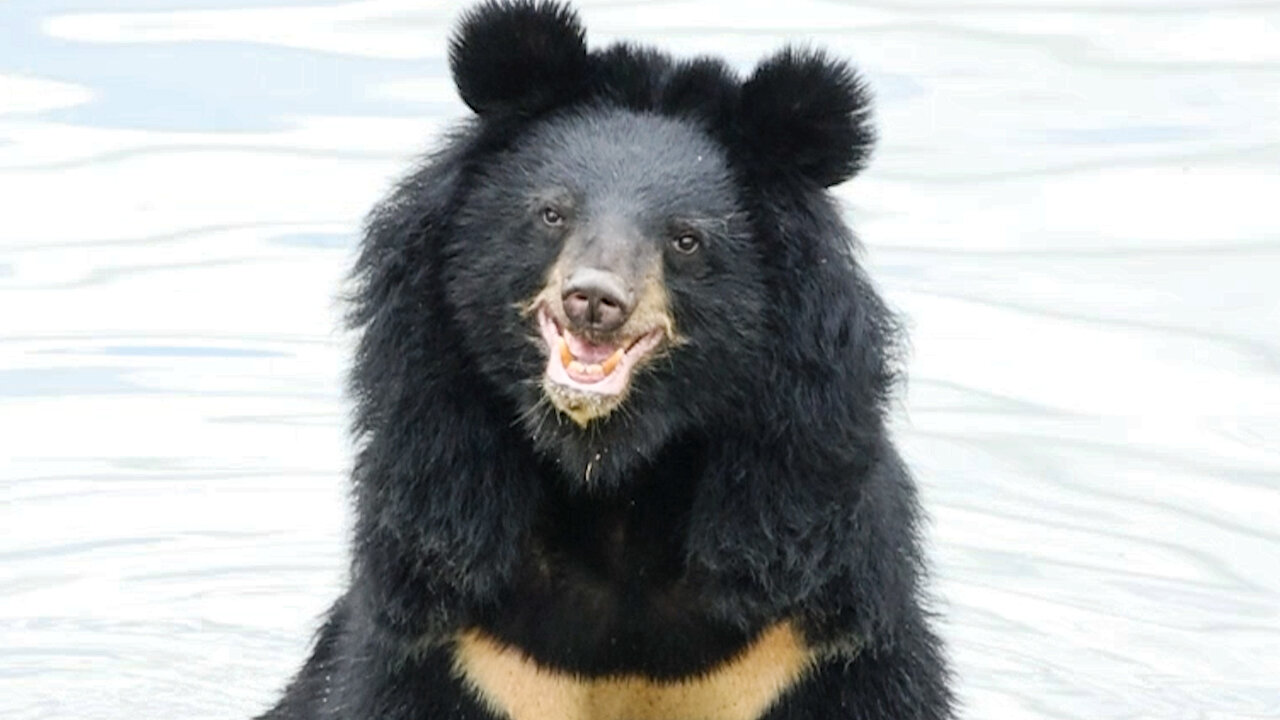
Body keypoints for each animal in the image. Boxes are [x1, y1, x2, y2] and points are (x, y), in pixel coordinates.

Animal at [257, 1, 953, 719]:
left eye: (686, 239)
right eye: (551, 212)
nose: (594, 300)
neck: (614, 484)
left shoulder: (795, 623)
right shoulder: (458, 616)